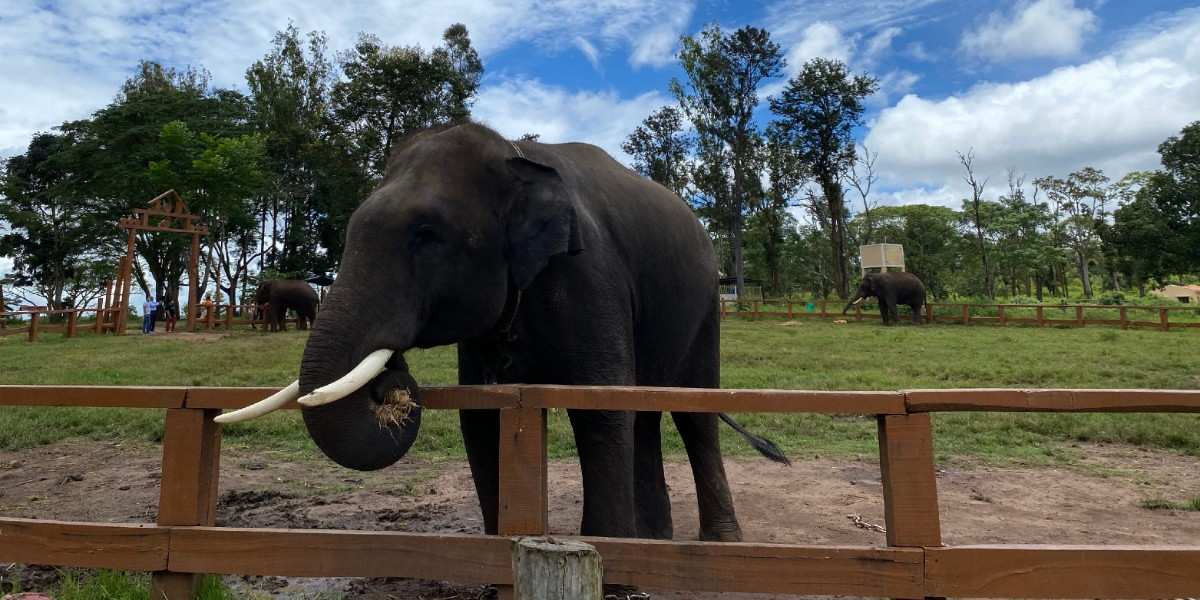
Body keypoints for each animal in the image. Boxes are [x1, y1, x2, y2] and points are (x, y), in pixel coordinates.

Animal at [219, 122, 786, 545]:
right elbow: (483, 414)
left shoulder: (590, 276)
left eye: (426, 235)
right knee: (643, 410)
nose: (391, 381)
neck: (517, 155)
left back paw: (718, 543)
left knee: (693, 410)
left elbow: (598, 408)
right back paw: (653, 541)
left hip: (705, 306)